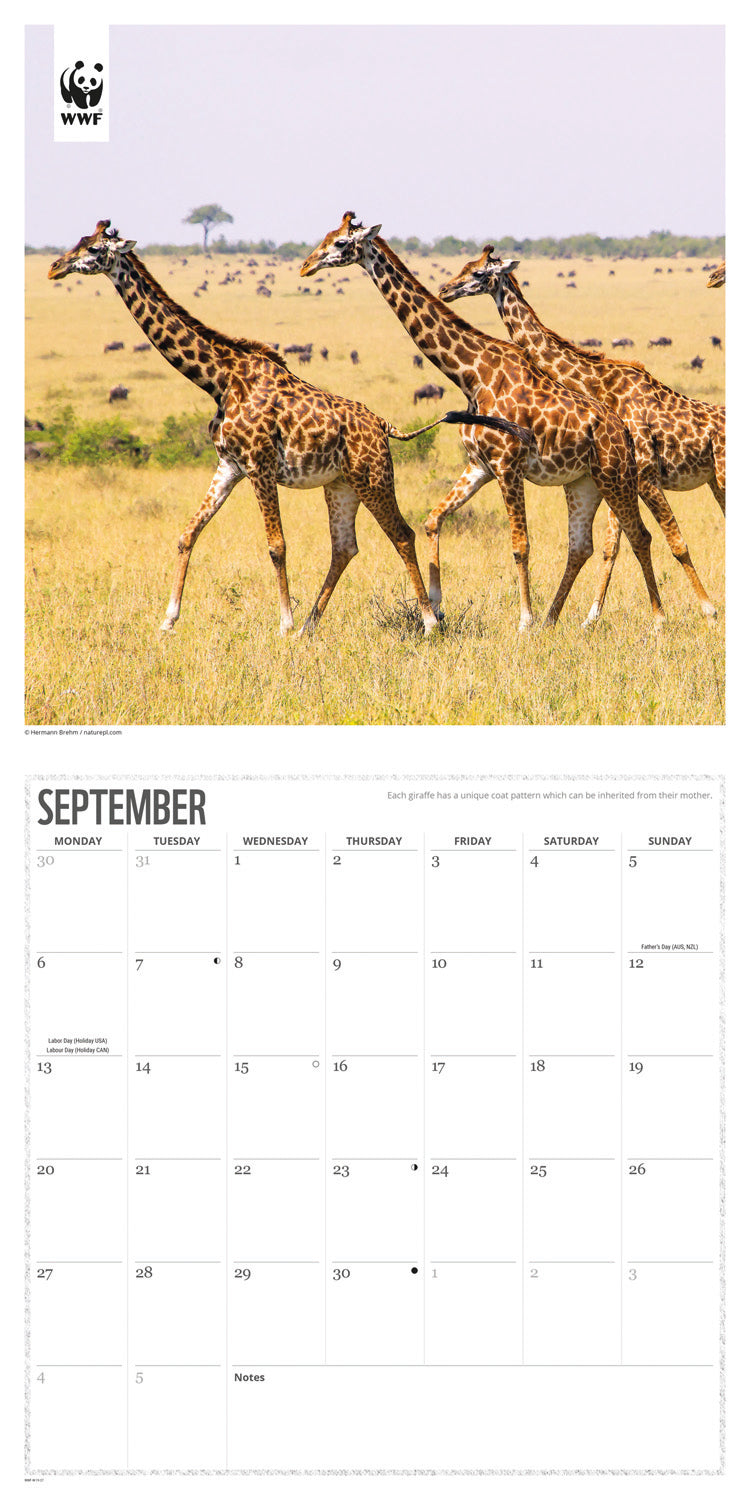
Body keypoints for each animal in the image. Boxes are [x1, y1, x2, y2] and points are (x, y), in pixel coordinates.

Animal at [47, 222, 522, 638]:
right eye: (79, 241)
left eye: (93, 250)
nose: (53, 267)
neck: (218, 378)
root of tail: (383, 425)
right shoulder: (229, 464)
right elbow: (188, 534)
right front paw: (167, 621)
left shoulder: (259, 465)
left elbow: (276, 545)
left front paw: (283, 624)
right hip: (341, 485)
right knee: (345, 546)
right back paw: (314, 625)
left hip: (373, 477)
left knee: (401, 534)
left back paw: (428, 622)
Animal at [300, 215, 666, 632]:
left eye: (341, 243)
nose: (306, 266)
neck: (471, 375)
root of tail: (622, 430)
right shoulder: (479, 466)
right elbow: (433, 520)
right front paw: (437, 607)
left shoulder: (508, 466)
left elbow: (520, 546)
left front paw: (523, 620)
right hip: (583, 482)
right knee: (583, 545)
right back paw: (554, 618)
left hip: (614, 475)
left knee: (640, 535)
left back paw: (657, 620)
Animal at [439, 247, 725, 624]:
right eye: (465, 265)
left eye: (479, 272)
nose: (445, 289)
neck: (597, 382)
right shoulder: (621, 476)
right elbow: (611, 547)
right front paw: (590, 618)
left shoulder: (642, 475)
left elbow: (671, 541)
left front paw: (707, 610)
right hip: (714, 482)